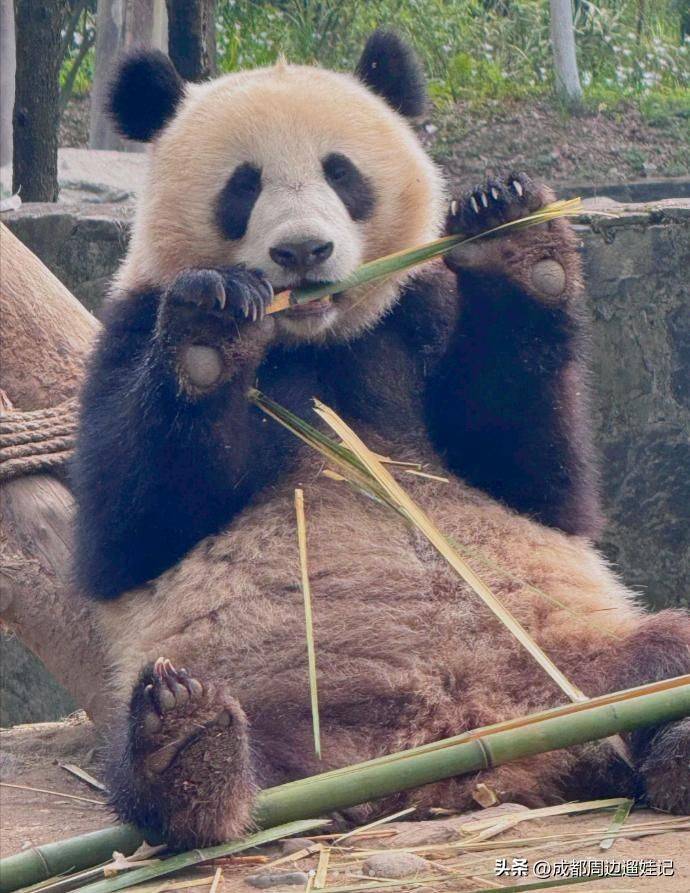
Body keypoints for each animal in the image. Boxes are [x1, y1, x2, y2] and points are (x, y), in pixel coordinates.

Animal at [71, 32, 690, 847]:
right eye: (243, 186)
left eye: (342, 173)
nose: (303, 251)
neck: (319, 338)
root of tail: (468, 745)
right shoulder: (127, 326)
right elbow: (123, 535)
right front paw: (212, 324)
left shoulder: (419, 309)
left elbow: (542, 483)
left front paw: (515, 240)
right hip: (276, 698)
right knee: (160, 745)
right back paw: (190, 749)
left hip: (574, 658)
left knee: (664, 653)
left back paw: (676, 744)